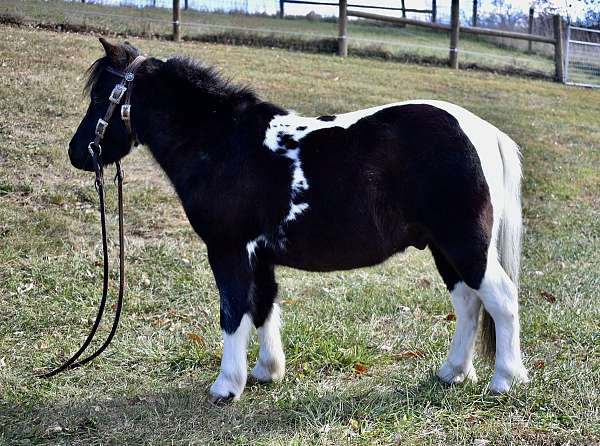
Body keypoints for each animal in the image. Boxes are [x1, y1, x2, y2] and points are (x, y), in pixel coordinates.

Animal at [69, 38, 528, 400]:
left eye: (100, 98)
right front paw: (265, 372)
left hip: (465, 244)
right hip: (443, 248)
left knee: (501, 300)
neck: (223, 144)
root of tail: (483, 131)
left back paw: (505, 380)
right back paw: (453, 373)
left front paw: (226, 386)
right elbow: (262, 306)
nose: (77, 153)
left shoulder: (228, 250)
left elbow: (233, 311)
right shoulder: (259, 256)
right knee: (468, 303)